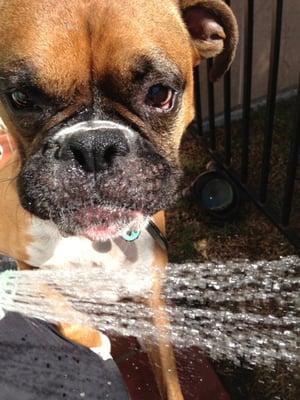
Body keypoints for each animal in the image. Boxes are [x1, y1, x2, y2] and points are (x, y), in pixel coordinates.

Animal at [0, 1, 239, 398]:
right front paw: (97, 341)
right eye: (21, 99)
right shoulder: (25, 270)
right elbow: (64, 312)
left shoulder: (152, 294)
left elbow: (169, 377)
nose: (93, 145)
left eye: (159, 93)